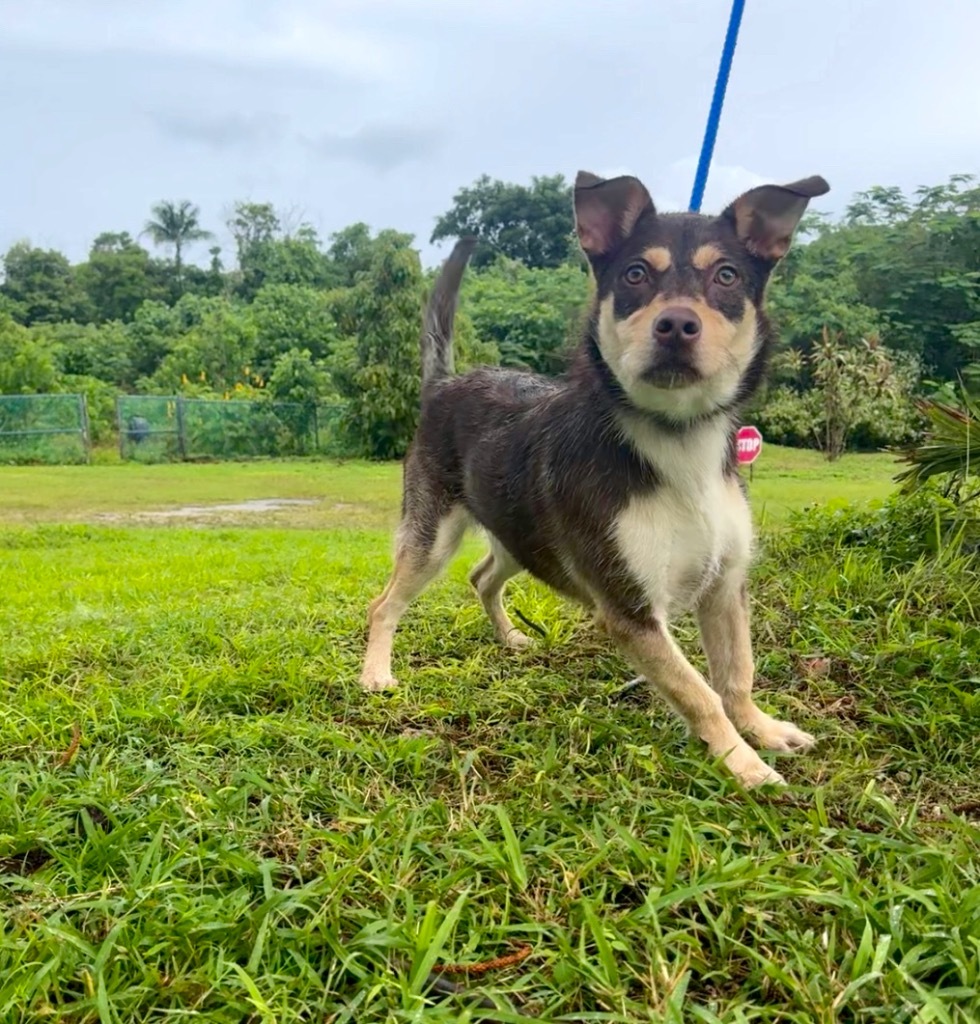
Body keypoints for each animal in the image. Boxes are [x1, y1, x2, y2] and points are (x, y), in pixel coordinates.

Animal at [362, 172, 831, 786]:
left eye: (726, 276)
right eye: (635, 274)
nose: (676, 324)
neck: (677, 439)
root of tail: (444, 382)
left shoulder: (725, 586)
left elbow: (736, 674)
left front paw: (763, 730)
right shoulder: (629, 609)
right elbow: (699, 692)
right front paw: (743, 764)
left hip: (521, 535)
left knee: (483, 577)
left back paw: (509, 637)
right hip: (432, 536)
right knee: (385, 604)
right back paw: (375, 673)